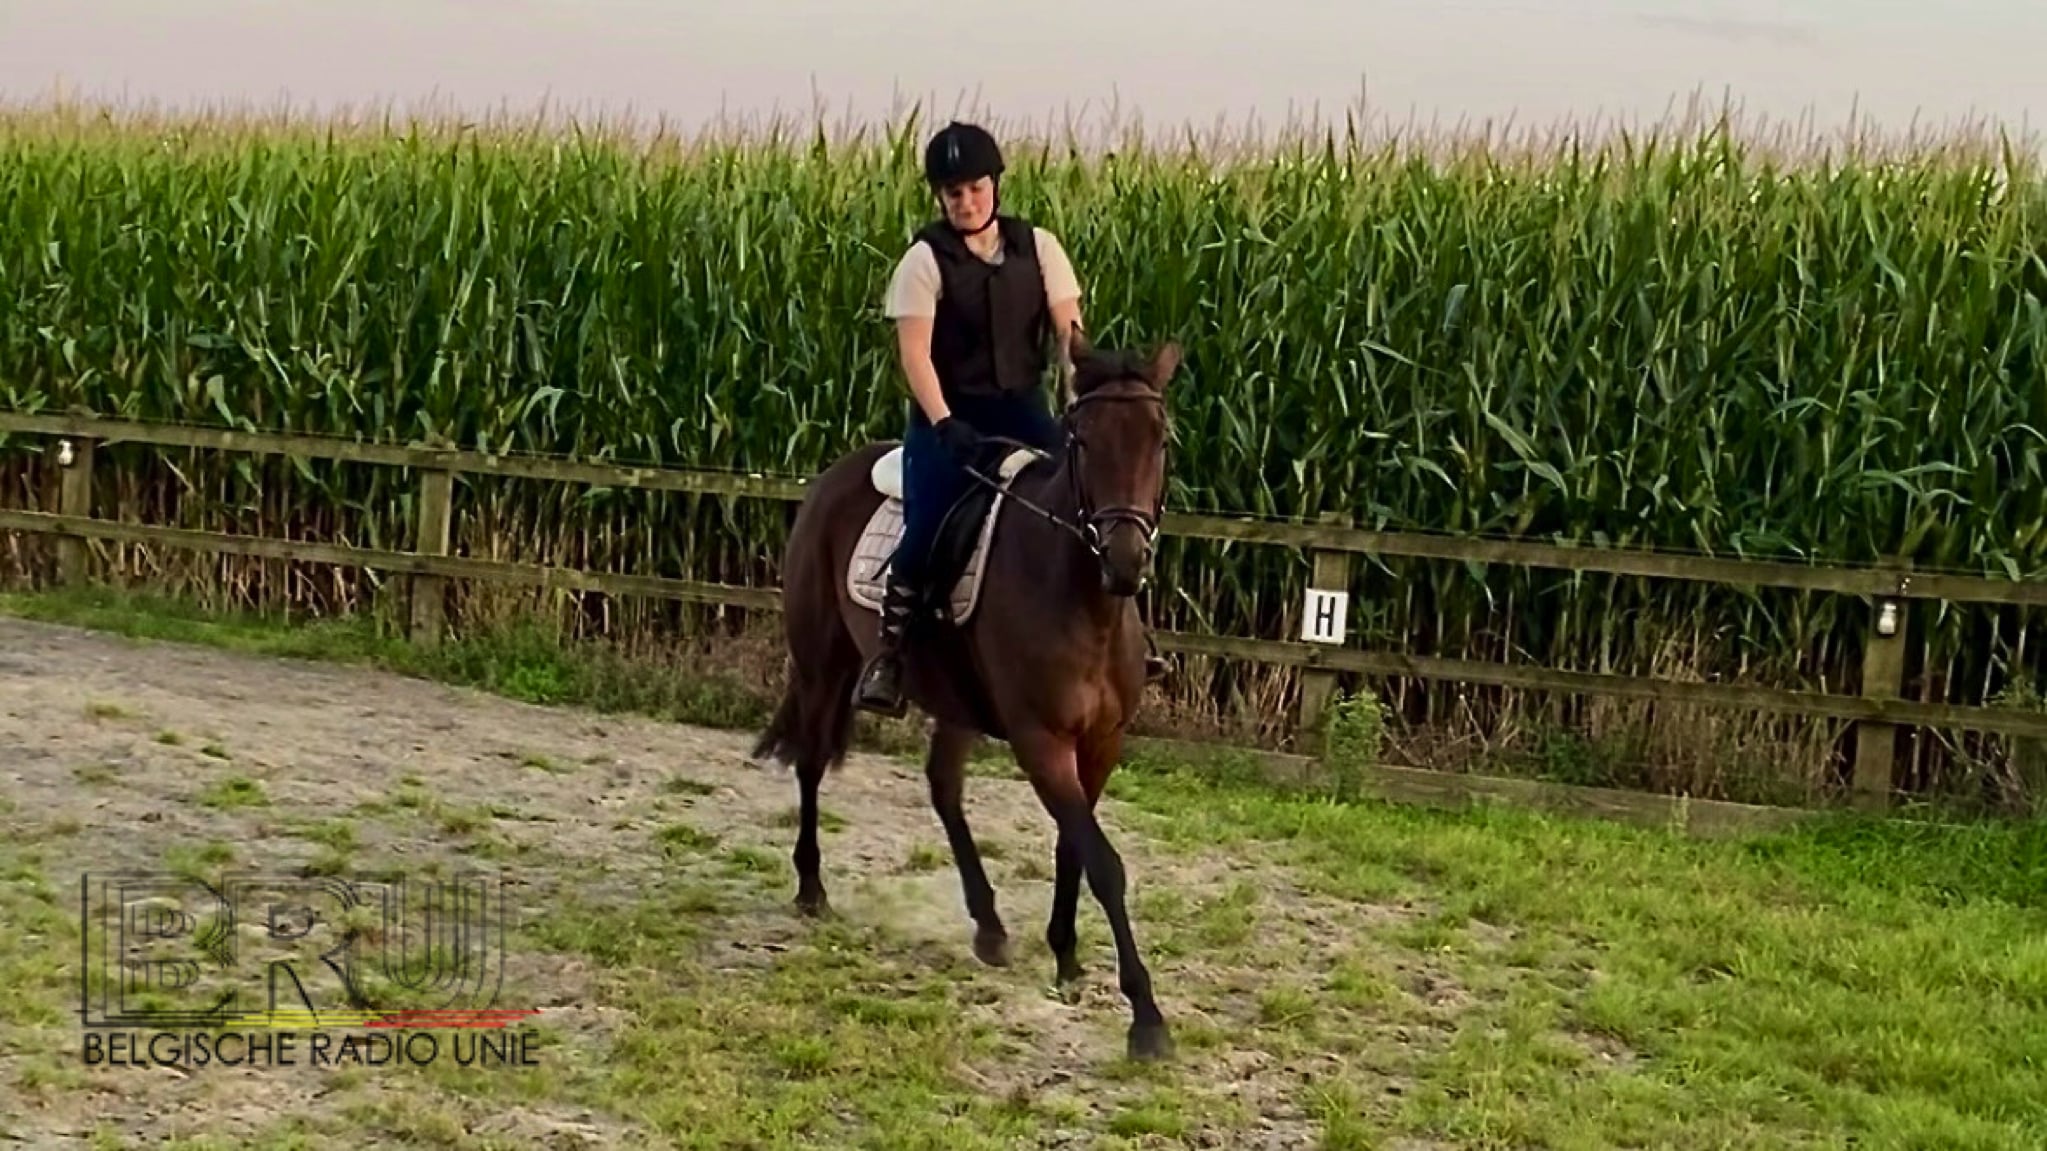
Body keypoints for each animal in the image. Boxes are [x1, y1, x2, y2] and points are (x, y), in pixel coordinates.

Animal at [749, 325, 1187, 1056]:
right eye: (1083, 440)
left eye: (1159, 440)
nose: (1124, 560)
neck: (1080, 597)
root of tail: (834, 476)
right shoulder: (1041, 741)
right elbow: (1103, 862)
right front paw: (1146, 1016)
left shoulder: (1100, 742)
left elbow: (1074, 846)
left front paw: (1066, 957)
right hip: (822, 664)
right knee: (811, 761)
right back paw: (812, 887)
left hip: (953, 703)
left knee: (943, 789)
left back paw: (988, 925)